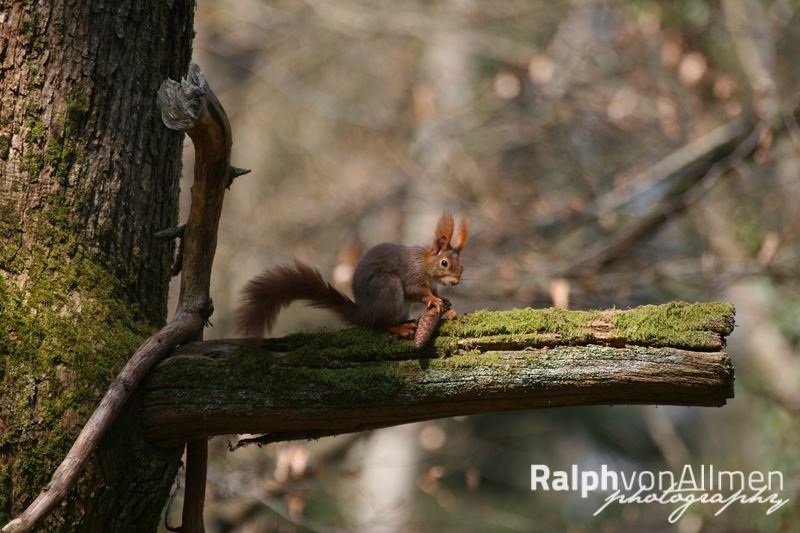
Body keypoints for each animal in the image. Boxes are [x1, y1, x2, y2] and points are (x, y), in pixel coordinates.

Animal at [235, 212, 468, 339]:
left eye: (462, 266)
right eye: (444, 263)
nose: (456, 282)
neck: (425, 264)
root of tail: (363, 313)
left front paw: (444, 300)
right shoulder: (411, 272)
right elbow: (415, 291)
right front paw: (434, 300)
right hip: (388, 287)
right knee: (379, 324)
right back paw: (399, 328)